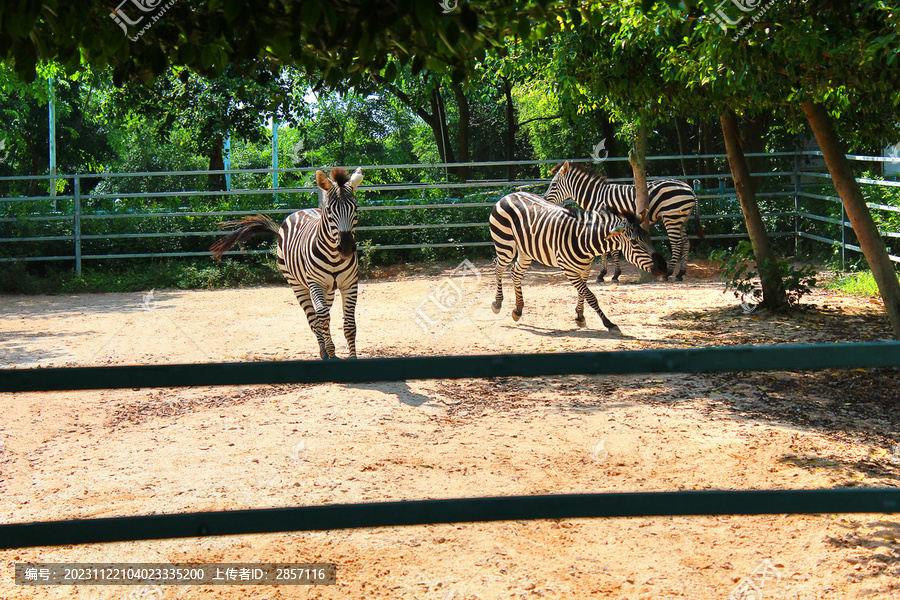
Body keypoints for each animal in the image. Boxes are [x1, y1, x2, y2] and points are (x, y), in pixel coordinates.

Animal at [211, 166, 362, 358]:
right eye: (329, 210)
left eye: (355, 208)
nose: (346, 248)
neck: (334, 257)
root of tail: (300, 211)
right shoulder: (315, 284)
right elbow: (321, 318)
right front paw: (329, 354)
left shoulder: (349, 284)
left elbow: (349, 325)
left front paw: (350, 357)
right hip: (297, 284)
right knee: (314, 318)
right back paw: (324, 351)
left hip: (327, 288)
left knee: (322, 314)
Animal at [488, 191, 664, 336]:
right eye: (634, 242)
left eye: (648, 238)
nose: (664, 269)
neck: (584, 239)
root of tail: (508, 195)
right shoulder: (568, 269)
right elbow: (591, 296)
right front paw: (609, 323)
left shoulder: (585, 268)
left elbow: (582, 292)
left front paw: (579, 316)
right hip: (505, 244)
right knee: (498, 267)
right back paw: (497, 303)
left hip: (526, 250)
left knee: (515, 272)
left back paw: (518, 309)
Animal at [540, 159, 704, 282]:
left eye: (553, 185)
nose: (544, 200)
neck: (597, 197)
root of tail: (688, 187)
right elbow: (607, 249)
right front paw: (606, 274)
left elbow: (609, 250)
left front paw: (610, 275)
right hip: (681, 218)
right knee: (686, 242)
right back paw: (680, 273)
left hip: (671, 216)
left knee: (676, 243)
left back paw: (669, 272)